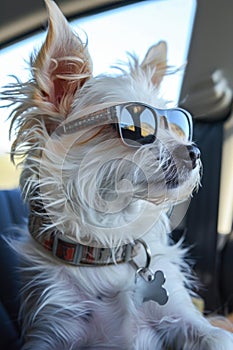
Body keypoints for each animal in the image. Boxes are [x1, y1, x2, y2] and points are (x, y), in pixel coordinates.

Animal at [3, 1, 233, 348]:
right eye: (134, 129)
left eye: (175, 125)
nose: (194, 152)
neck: (107, 250)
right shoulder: (51, 330)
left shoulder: (184, 316)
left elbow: (217, 336)